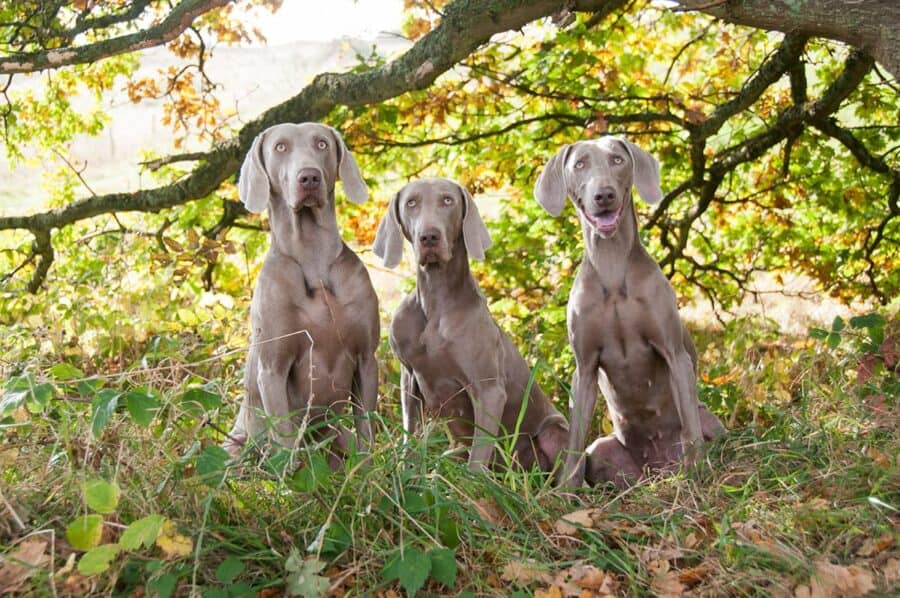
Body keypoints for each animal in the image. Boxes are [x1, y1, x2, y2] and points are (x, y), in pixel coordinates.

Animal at [227, 123, 382, 464]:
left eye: (322, 144)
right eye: (280, 147)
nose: (309, 177)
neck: (314, 259)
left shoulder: (367, 358)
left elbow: (366, 429)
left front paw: (372, 469)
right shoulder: (272, 368)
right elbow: (285, 443)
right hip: (235, 443)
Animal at [370, 178, 568, 474]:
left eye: (448, 200)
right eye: (411, 203)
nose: (429, 237)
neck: (436, 300)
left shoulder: (488, 390)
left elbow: (478, 457)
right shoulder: (408, 377)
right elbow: (409, 430)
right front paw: (405, 472)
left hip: (555, 430)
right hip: (452, 451)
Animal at [536, 136, 724, 488]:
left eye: (617, 160)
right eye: (580, 164)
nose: (604, 194)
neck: (611, 268)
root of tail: (657, 470)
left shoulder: (674, 354)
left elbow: (690, 423)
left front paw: (699, 472)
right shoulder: (584, 369)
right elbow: (574, 442)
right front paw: (564, 491)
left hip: (712, 423)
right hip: (602, 449)